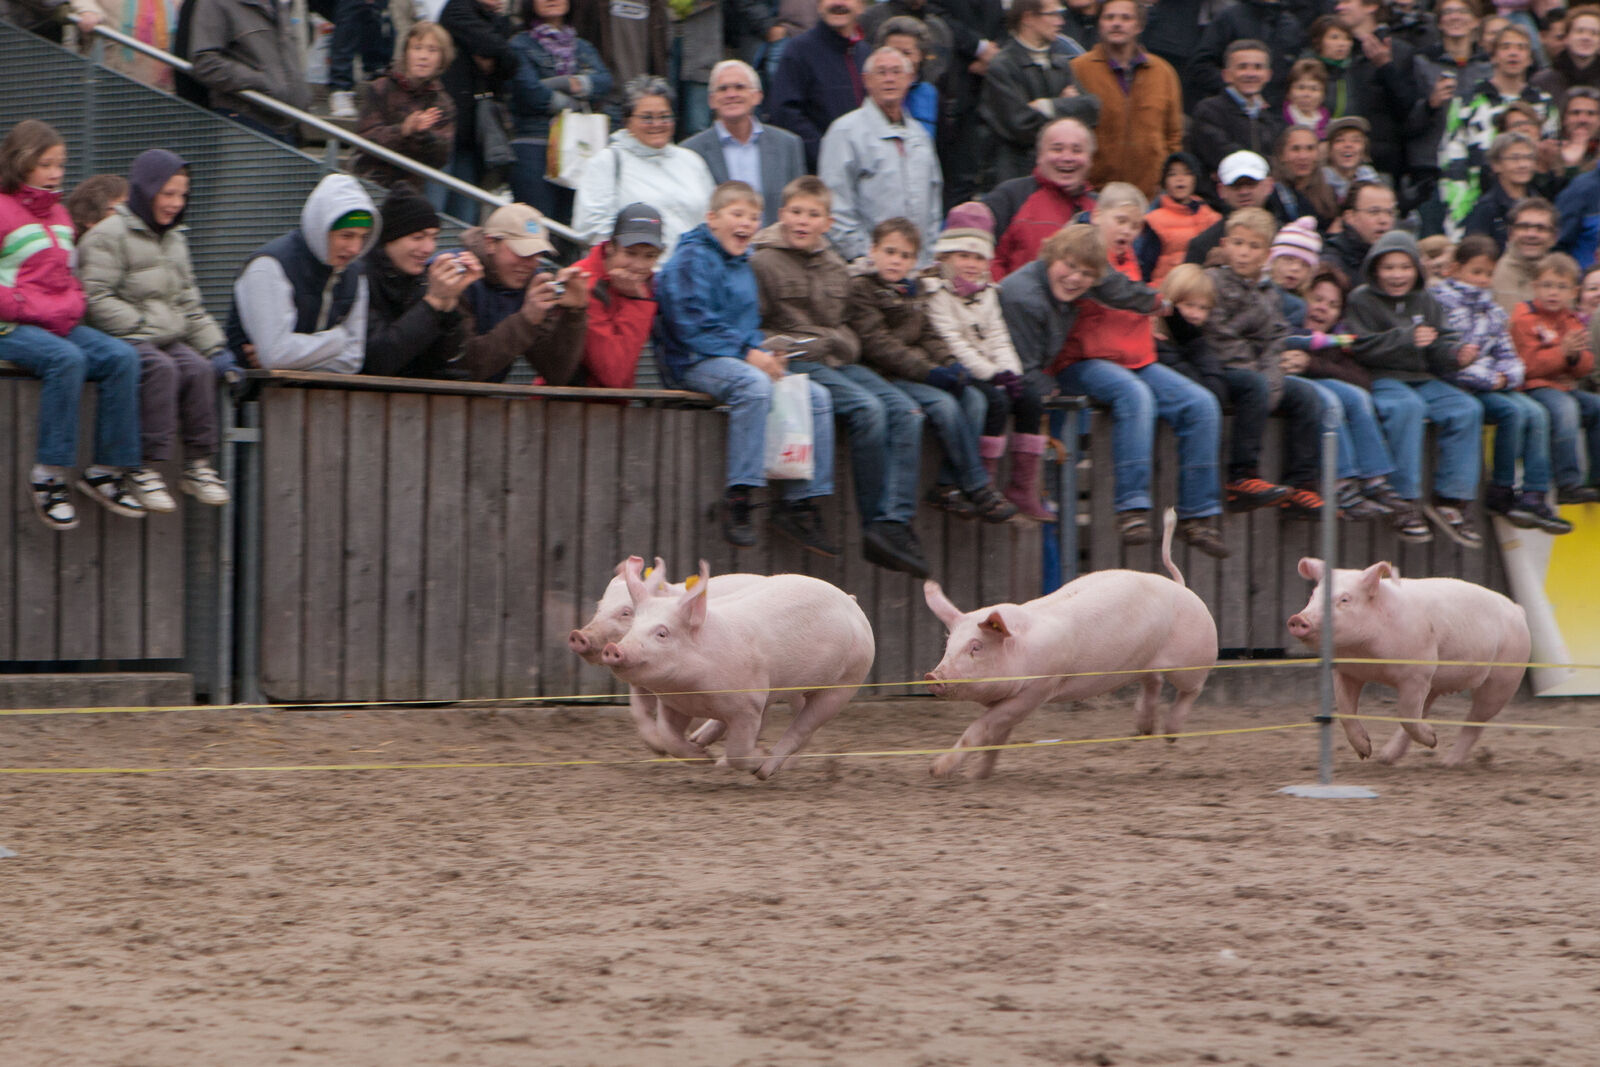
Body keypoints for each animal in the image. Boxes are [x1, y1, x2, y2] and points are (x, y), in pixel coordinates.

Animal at [601, 563, 876, 780]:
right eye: (633, 626)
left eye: (662, 633)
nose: (613, 648)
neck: (694, 691)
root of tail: (850, 601)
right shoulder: (674, 703)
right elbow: (669, 737)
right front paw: (703, 758)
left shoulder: (747, 705)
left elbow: (738, 751)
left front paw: (750, 761)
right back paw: (701, 741)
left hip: (845, 683)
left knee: (803, 727)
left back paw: (763, 770)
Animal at [921, 508, 1216, 777]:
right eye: (948, 646)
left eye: (976, 647)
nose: (932, 676)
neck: (1021, 648)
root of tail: (1182, 587)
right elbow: (996, 737)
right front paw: (979, 776)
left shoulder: (1038, 688)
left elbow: (982, 729)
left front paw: (936, 770)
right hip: (1143, 659)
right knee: (1153, 680)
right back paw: (1143, 730)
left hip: (1194, 658)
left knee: (1191, 689)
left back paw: (1170, 735)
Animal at [1286, 559, 1523, 767]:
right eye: (1313, 596)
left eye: (1345, 599)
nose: (1297, 619)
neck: (1368, 655)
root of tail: (1517, 608)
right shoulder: (1347, 671)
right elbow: (1345, 711)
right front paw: (1365, 753)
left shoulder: (1416, 673)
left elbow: (1405, 714)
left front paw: (1433, 739)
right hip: (1435, 682)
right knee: (1426, 710)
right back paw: (1385, 758)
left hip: (1503, 678)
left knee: (1475, 720)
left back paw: (1448, 762)